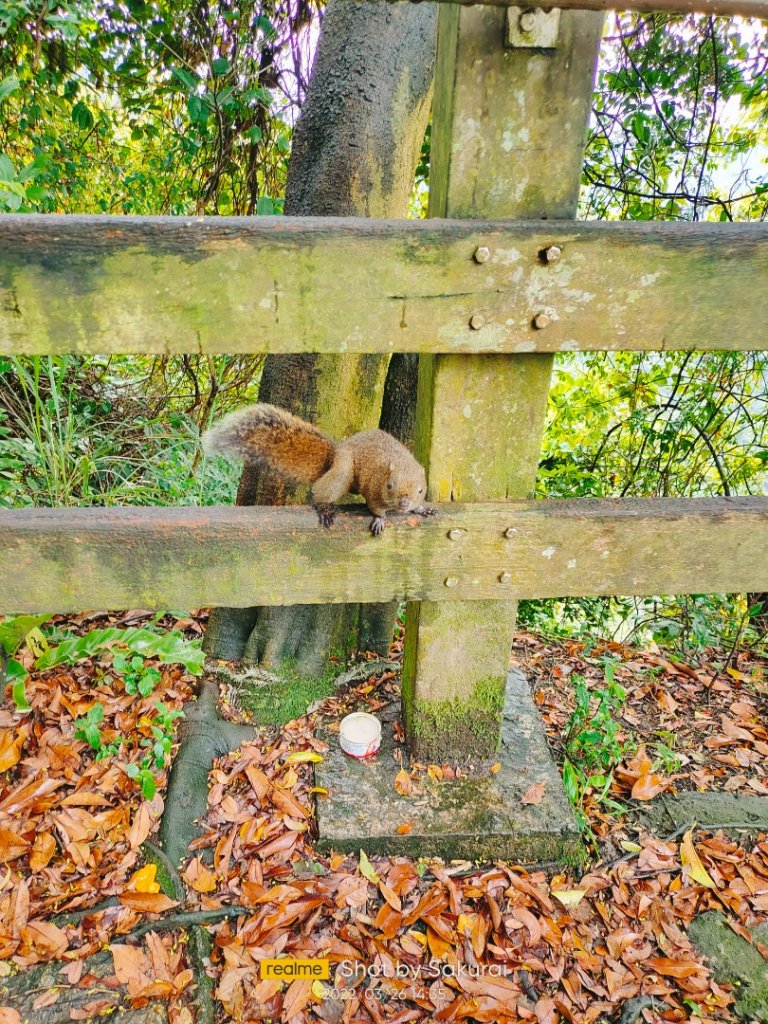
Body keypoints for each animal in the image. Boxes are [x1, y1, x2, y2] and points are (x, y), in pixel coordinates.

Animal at [201, 403, 438, 540]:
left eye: (421, 490)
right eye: (389, 486)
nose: (404, 504)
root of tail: (335, 454)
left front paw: (421, 509)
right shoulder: (374, 489)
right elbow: (376, 507)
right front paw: (380, 519)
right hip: (343, 470)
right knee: (321, 491)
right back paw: (324, 507)